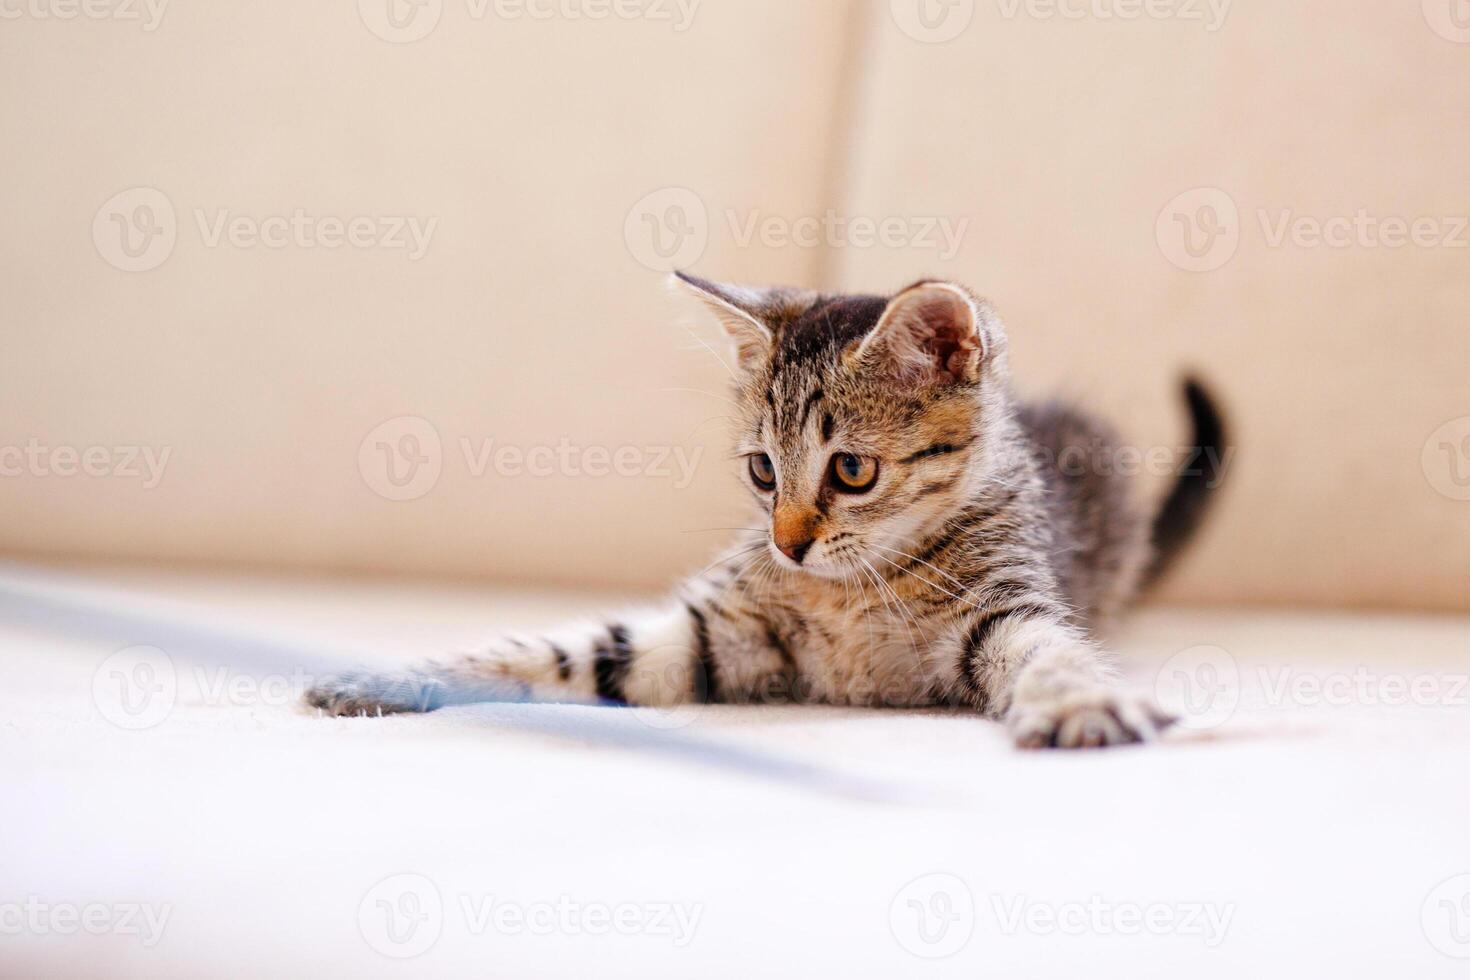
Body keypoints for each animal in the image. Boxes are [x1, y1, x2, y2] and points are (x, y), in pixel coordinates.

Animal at [310, 276, 1228, 752]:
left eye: (851, 470)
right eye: (761, 470)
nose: (788, 547)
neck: (851, 590)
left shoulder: (1002, 611)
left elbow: (1049, 651)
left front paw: (1079, 705)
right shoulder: (710, 634)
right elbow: (558, 652)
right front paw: (390, 675)